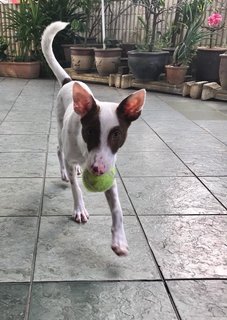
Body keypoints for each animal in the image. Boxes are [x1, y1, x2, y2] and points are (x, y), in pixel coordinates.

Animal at [41, 21, 146, 256]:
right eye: (89, 132)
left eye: (116, 135)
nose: (97, 170)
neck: (84, 151)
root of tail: (69, 81)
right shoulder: (75, 156)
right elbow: (76, 189)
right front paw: (79, 209)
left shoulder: (110, 165)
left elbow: (117, 208)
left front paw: (119, 239)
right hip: (60, 129)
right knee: (59, 151)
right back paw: (65, 172)